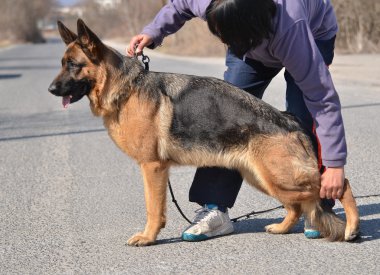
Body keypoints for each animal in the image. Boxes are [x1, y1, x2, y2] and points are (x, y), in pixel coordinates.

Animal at [48, 20, 360, 247]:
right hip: (262, 177)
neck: (127, 88)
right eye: (62, 64)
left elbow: (153, 208)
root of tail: (289, 120)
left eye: (73, 65)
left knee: (337, 183)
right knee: (296, 206)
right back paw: (282, 228)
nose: (50, 90)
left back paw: (352, 226)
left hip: (279, 177)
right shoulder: (154, 168)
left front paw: (148, 238)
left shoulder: (152, 167)